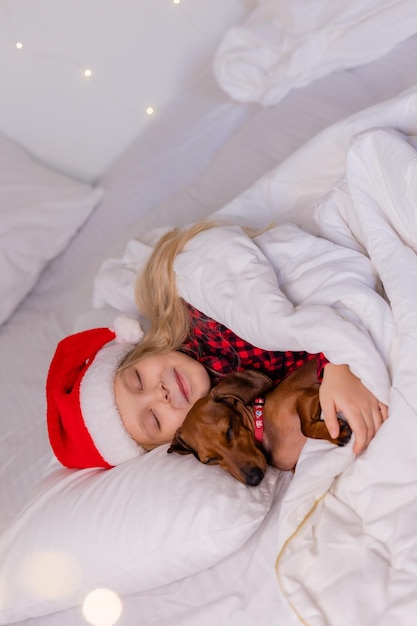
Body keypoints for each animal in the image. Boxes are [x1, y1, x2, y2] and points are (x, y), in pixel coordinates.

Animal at [167, 358, 350, 486]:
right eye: (209, 461)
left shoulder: (311, 392)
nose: (254, 479)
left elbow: (305, 427)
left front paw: (338, 433)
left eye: (229, 429)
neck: (263, 426)